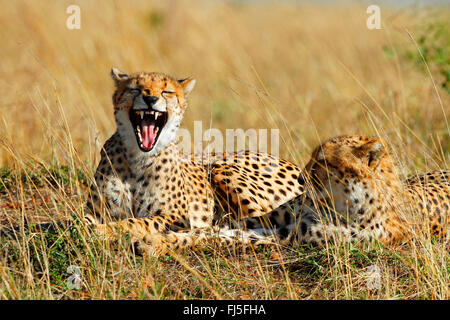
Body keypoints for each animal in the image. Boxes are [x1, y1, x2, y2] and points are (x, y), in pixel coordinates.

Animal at [82, 68, 304, 255]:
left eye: (167, 92)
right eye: (135, 88)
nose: (150, 99)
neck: (139, 157)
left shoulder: (177, 216)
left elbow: (137, 222)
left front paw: (106, 231)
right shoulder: (96, 209)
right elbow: (82, 219)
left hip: (221, 169)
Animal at [243, 134, 450, 246]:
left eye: (323, 161)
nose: (300, 179)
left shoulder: (309, 231)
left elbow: (276, 233)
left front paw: (239, 238)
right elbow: (248, 221)